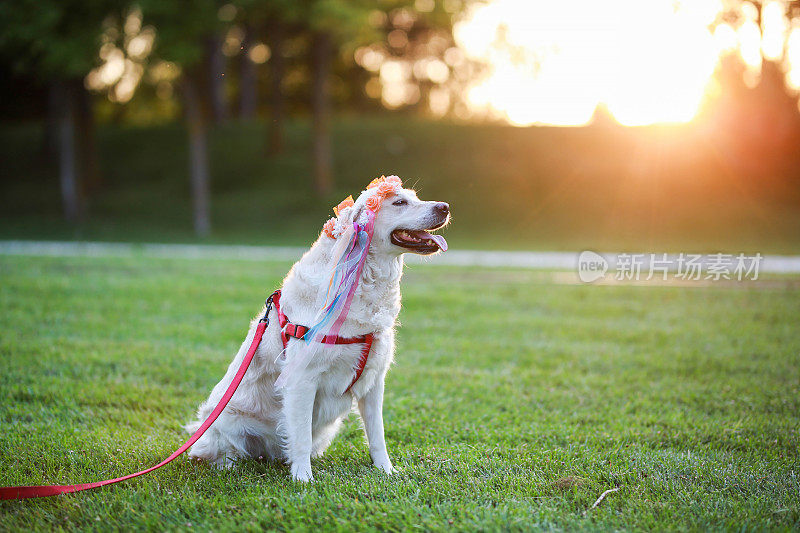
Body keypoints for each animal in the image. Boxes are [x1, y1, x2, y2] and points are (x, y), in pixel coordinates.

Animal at [188, 179, 450, 482]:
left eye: (414, 198)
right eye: (399, 202)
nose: (445, 207)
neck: (360, 278)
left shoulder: (374, 381)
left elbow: (377, 435)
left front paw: (385, 471)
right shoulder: (302, 379)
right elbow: (300, 436)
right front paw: (303, 480)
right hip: (225, 422)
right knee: (215, 452)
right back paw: (229, 466)